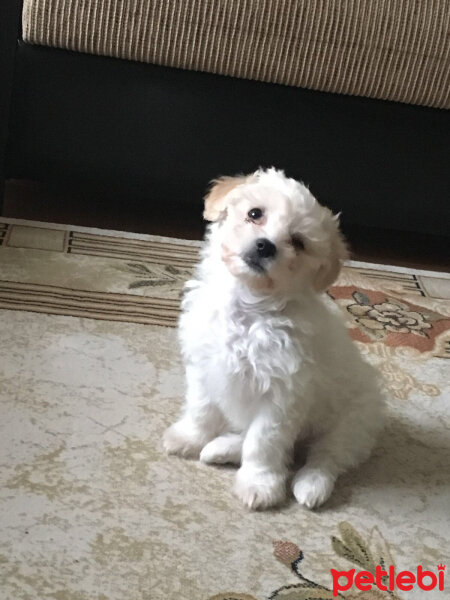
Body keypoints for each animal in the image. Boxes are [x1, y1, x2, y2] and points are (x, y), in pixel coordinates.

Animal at [164, 166, 384, 508]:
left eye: (298, 242)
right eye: (255, 213)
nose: (265, 246)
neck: (249, 308)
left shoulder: (282, 394)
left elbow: (263, 443)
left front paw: (259, 484)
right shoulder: (204, 367)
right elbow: (202, 410)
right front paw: (189, 438)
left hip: (351, 425)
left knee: (326, 457)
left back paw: (311, 485)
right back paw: (219, 448)